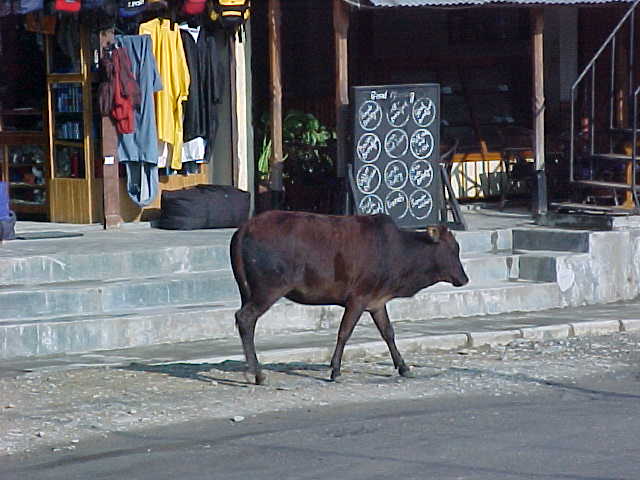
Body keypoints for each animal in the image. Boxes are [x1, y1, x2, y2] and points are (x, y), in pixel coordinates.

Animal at [228, 212, 468, 384]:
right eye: (452, 248)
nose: (464, 278)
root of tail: (243, 229)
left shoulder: (376, 301)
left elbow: (388, 333)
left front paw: (403, 366)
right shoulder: (358, 297)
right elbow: (344, 332)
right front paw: (335, 370)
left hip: (247, 290)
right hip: (269, 288)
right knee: (245, 318)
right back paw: (258, 374)